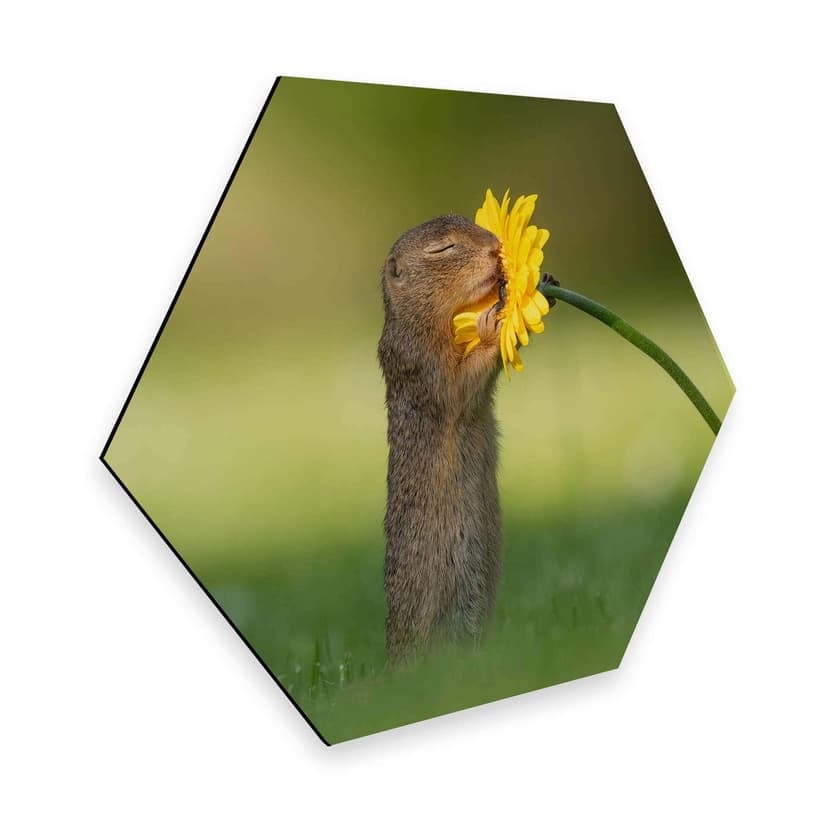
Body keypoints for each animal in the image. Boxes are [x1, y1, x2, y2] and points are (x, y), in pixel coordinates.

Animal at [378, 214, 505, 662]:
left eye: (470, 221)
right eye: (443, 249)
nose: (496, 247)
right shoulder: (420, 361)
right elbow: (458, 386)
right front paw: (492, 323)